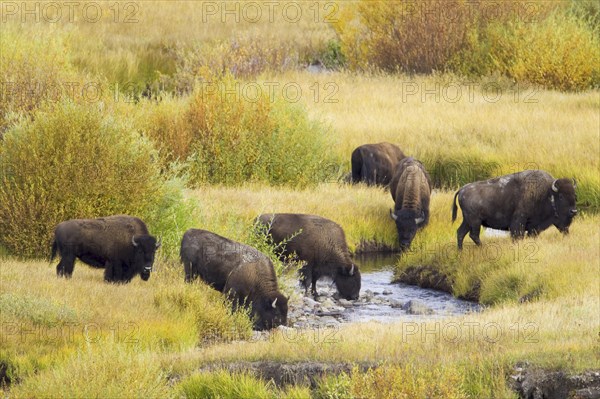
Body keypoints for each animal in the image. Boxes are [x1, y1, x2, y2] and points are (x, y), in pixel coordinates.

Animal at [452, 170, 580, 250]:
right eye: (561, 196)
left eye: (575, 196)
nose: (573, 212)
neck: (546, 194)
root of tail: (462, 189)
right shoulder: (518, 222)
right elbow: (517, 236)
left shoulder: (534, 227)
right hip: (475, 221)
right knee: (473, 235)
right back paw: (482, 247)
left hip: (467, 221)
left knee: (460, 233)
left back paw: (460, 251)